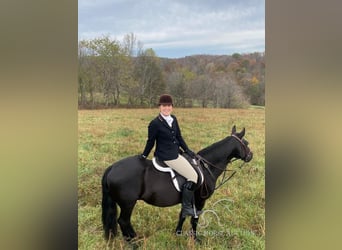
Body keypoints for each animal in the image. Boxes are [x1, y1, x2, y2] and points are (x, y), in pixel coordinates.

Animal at [100, 126, 252, 241]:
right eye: (246, 143)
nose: (251, 156)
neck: (206, 167)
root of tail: (112, 167)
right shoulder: (200, 200)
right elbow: (194, 219)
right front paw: (195, 239)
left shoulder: (188, 200)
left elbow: (182, 215)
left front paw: (178, 233)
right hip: (128, 203)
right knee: (123, 221)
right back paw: (133, 242)